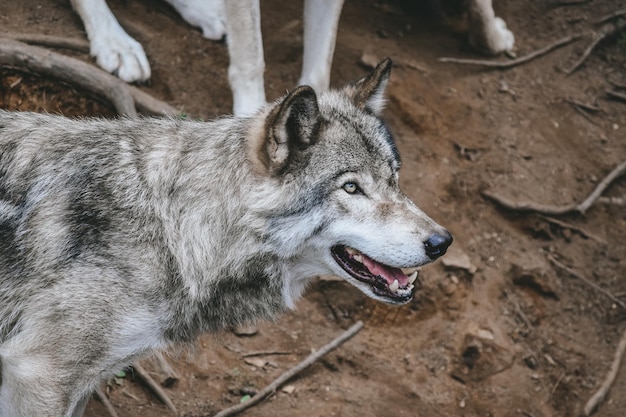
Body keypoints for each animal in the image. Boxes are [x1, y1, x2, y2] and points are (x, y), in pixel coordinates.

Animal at [0, 61, 448, 416]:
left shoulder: (76, 380)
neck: (171, 228)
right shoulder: (40, 373)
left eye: (395, 178)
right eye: (351, 188)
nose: (442, 242)